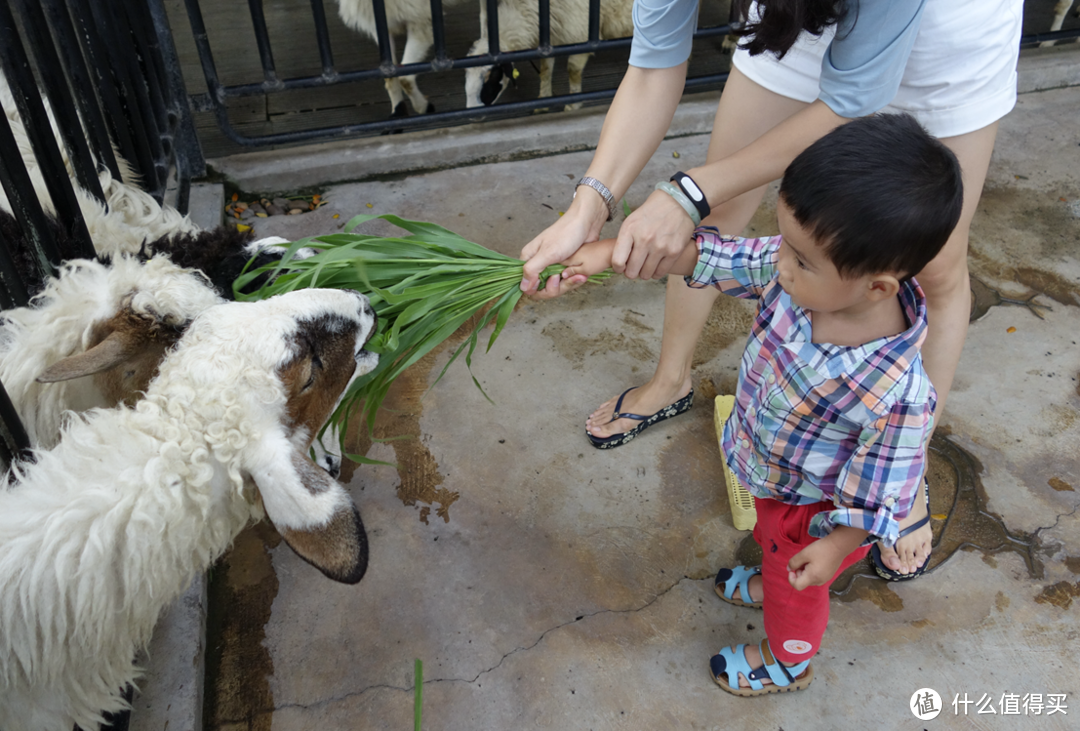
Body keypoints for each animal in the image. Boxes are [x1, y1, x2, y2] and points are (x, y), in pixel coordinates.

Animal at [462, 0, 630, 109]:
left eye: (490, 79)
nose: (472, 116)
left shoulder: (581, 34)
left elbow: (573, 71)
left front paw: (572, 105)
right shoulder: (549, 39)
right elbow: (545, 70)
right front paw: (543, 101)